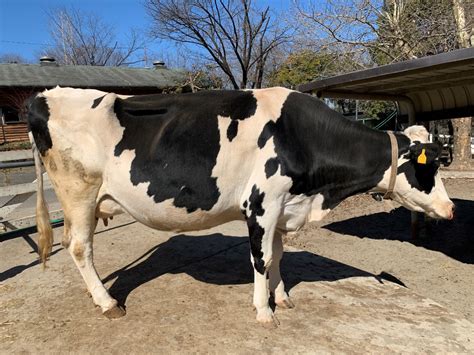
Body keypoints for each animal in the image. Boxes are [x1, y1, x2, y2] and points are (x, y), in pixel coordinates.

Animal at [26, 87, 456, 328]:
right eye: (429, 167)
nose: (450, 209)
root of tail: (46, 95)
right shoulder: (262, 203)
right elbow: (261, 259)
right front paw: (264, 311)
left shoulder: (284, 206)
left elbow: (279, 255)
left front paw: (283, 297)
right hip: (80, 192)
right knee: (80, 247)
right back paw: (108, 303)